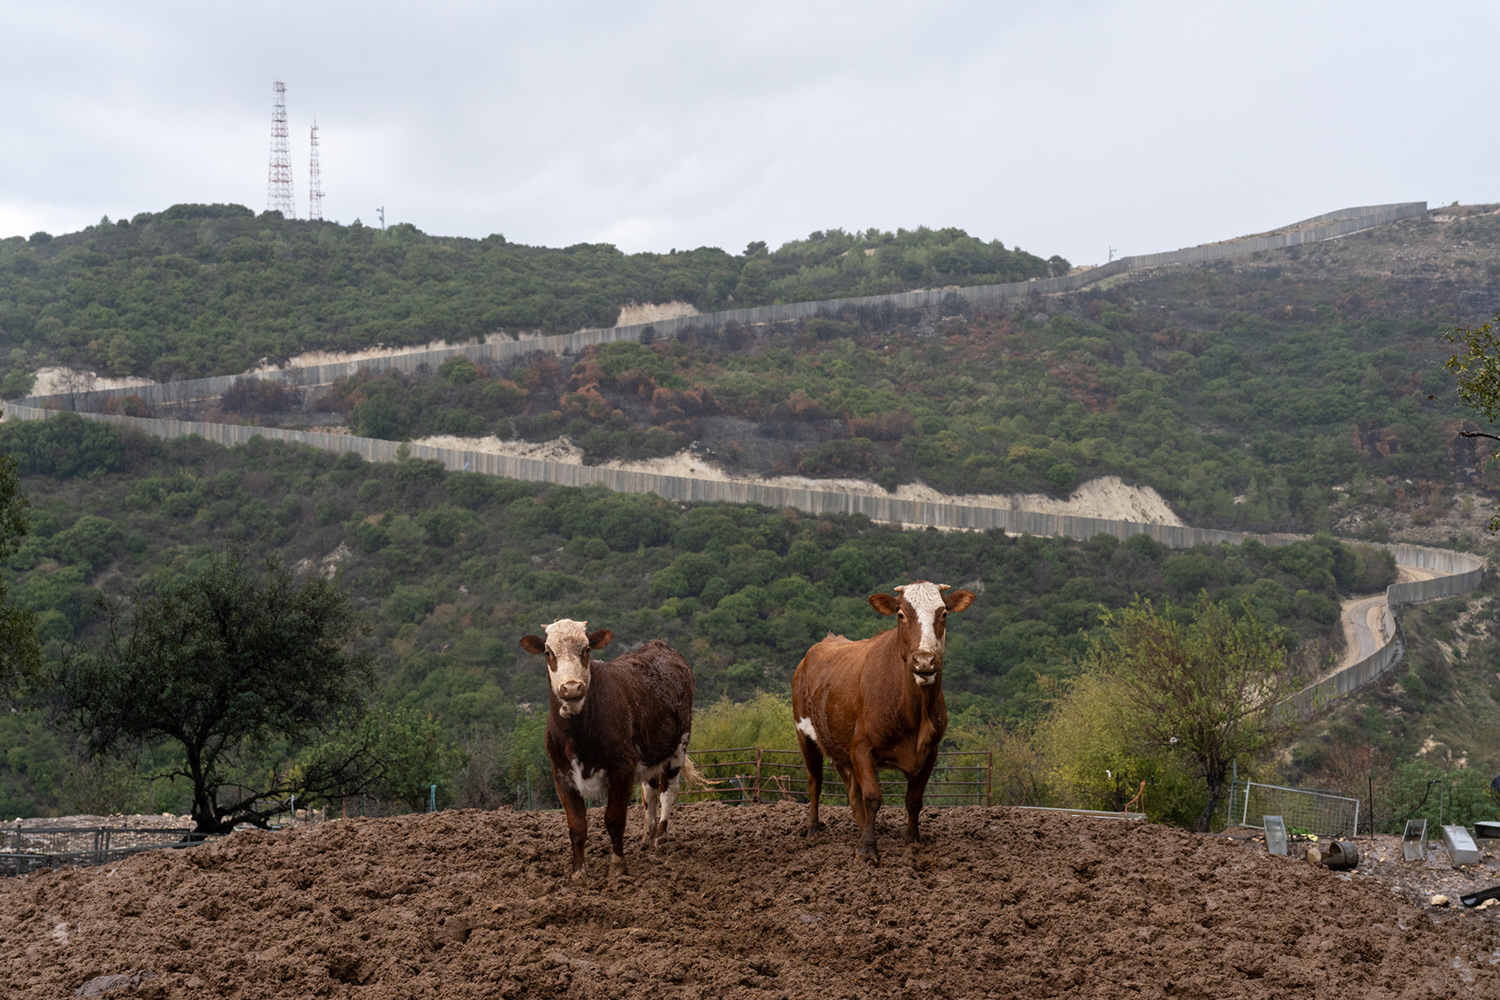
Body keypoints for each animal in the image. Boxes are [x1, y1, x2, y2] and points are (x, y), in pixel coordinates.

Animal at [518, 620, 694, 880]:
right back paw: (647, 834)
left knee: (668, 791)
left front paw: (618, 866)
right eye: (548, 653)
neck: (576, 734)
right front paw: (578, 873)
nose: (572, 687)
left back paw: (660, 838)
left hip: (679, 746)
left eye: (587, 649)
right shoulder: (562, 777)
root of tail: (659, 646)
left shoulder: (621, 770)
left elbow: (614, 820)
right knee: (650, 792)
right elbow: (577, 827)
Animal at [792, 581, 976, 863]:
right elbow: (872, 796)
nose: (924, 660)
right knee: (815, 782)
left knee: (851, 792)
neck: (914, 715)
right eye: (900, 614)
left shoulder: (930, 751)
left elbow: (913, 799)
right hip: (806, 736)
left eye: (943, 613)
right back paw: (813, 829)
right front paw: (867, 848)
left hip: (840, 747)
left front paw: (912, 840)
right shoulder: (861, 747)